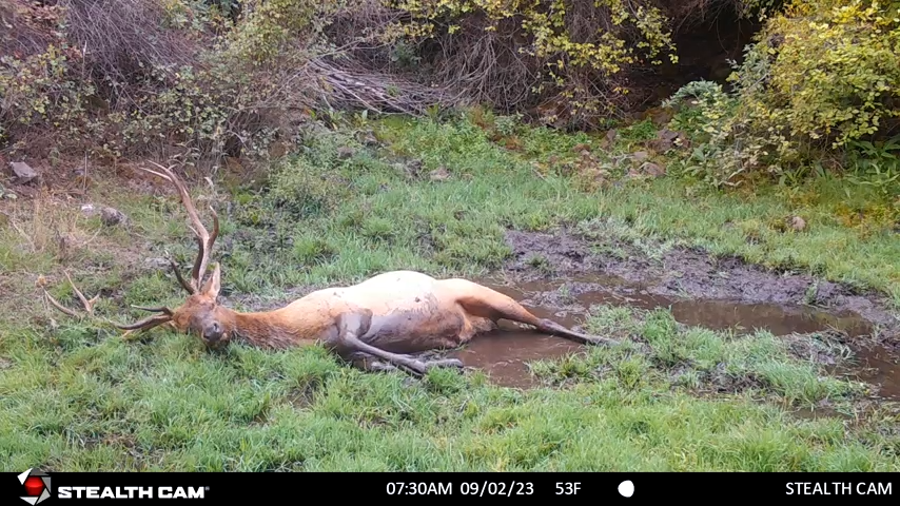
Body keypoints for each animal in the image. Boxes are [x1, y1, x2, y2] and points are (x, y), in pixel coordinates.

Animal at [42, 162, 620, 376]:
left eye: (211, 302)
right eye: (181, 325)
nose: (211, 333)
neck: (296, 330)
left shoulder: (351, 312)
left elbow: (356, 341)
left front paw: (433, 364)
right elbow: (359, 357)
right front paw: (411, 364)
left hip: (483, 291)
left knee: (545, 320)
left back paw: (613, 340)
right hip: (484, 314)